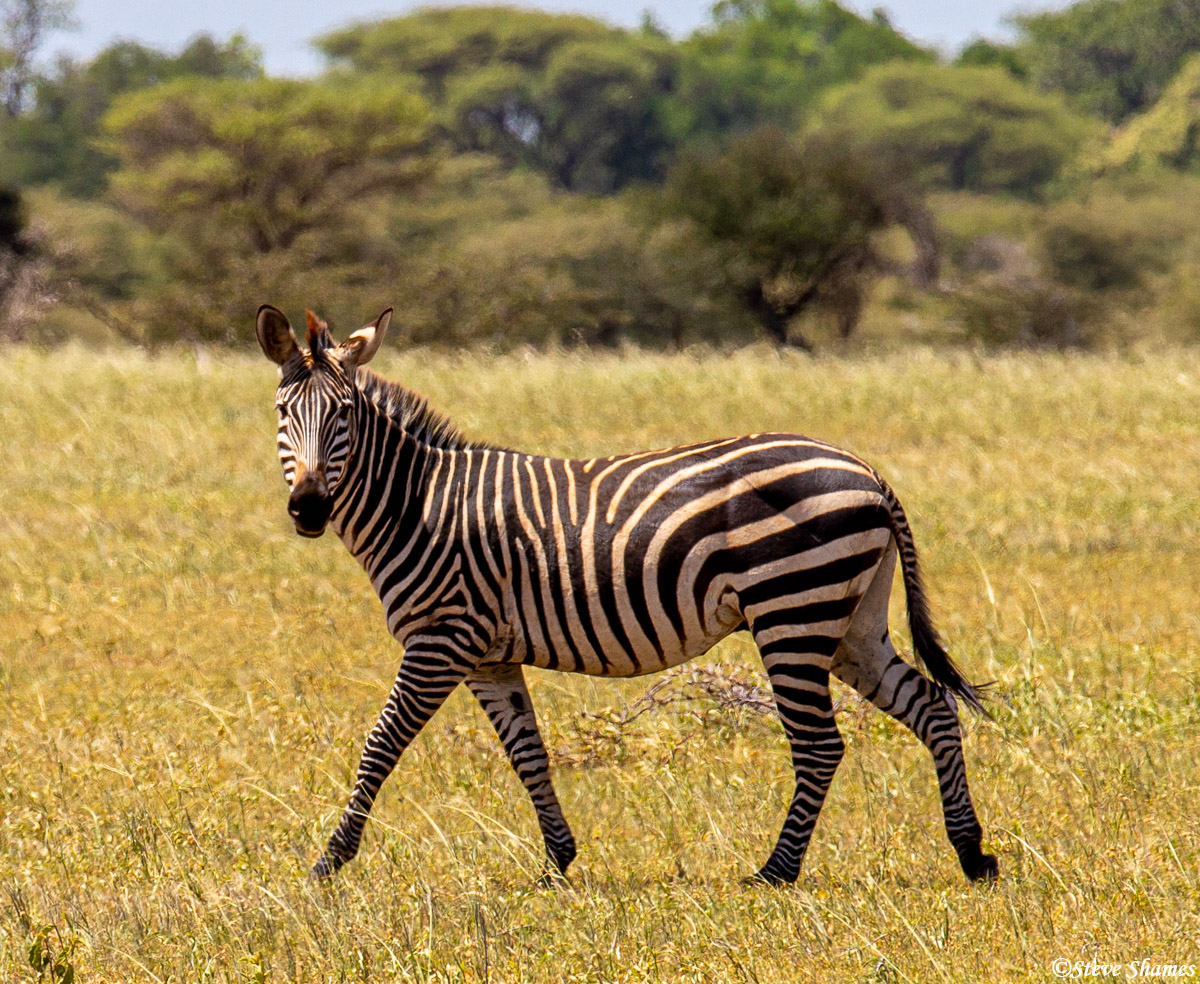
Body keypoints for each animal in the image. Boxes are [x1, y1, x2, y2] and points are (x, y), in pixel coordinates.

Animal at [258, 306, 998, 883]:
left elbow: (380, 745)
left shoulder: (442, 639)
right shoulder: (489, 655)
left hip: (791, 610)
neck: (415, 506)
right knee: (932, 709)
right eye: (282, 413)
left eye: (345, 414)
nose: (308, 508)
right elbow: (528, 753)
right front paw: (558, 860)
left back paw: (776, 871)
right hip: (849, 621)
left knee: (819, 745)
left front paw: (329, 861)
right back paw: (972, 853)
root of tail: (868, 472)